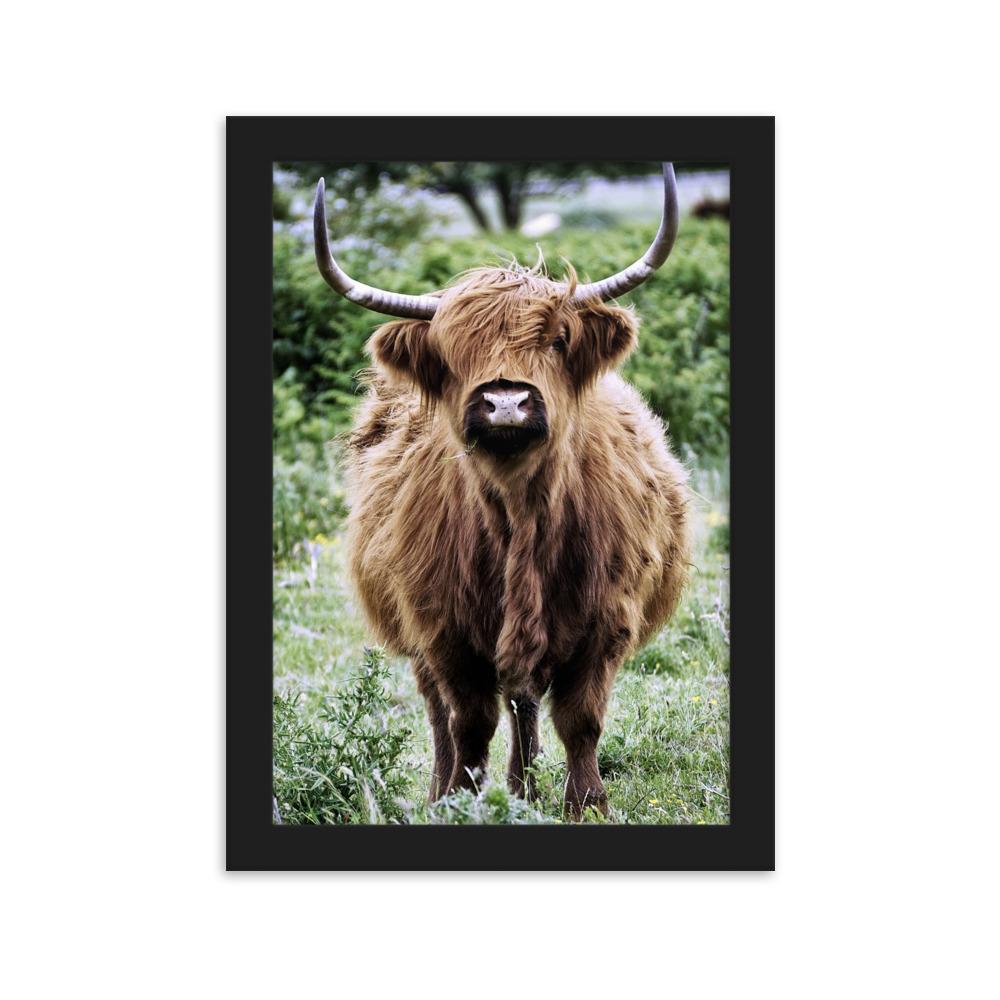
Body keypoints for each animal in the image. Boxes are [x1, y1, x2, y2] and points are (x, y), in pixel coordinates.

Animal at [313, 164, 691, 817]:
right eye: (451, 351)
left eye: (559, 340)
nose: (507, 401)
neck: (520, 513)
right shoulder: (443, 630)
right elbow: (468, 721)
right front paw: (461, 800)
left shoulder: (606, 622)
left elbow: (580, 720)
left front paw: (586, 805)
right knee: (447, 712)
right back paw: (453, 791)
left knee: (525, 702)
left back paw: (524, 787)